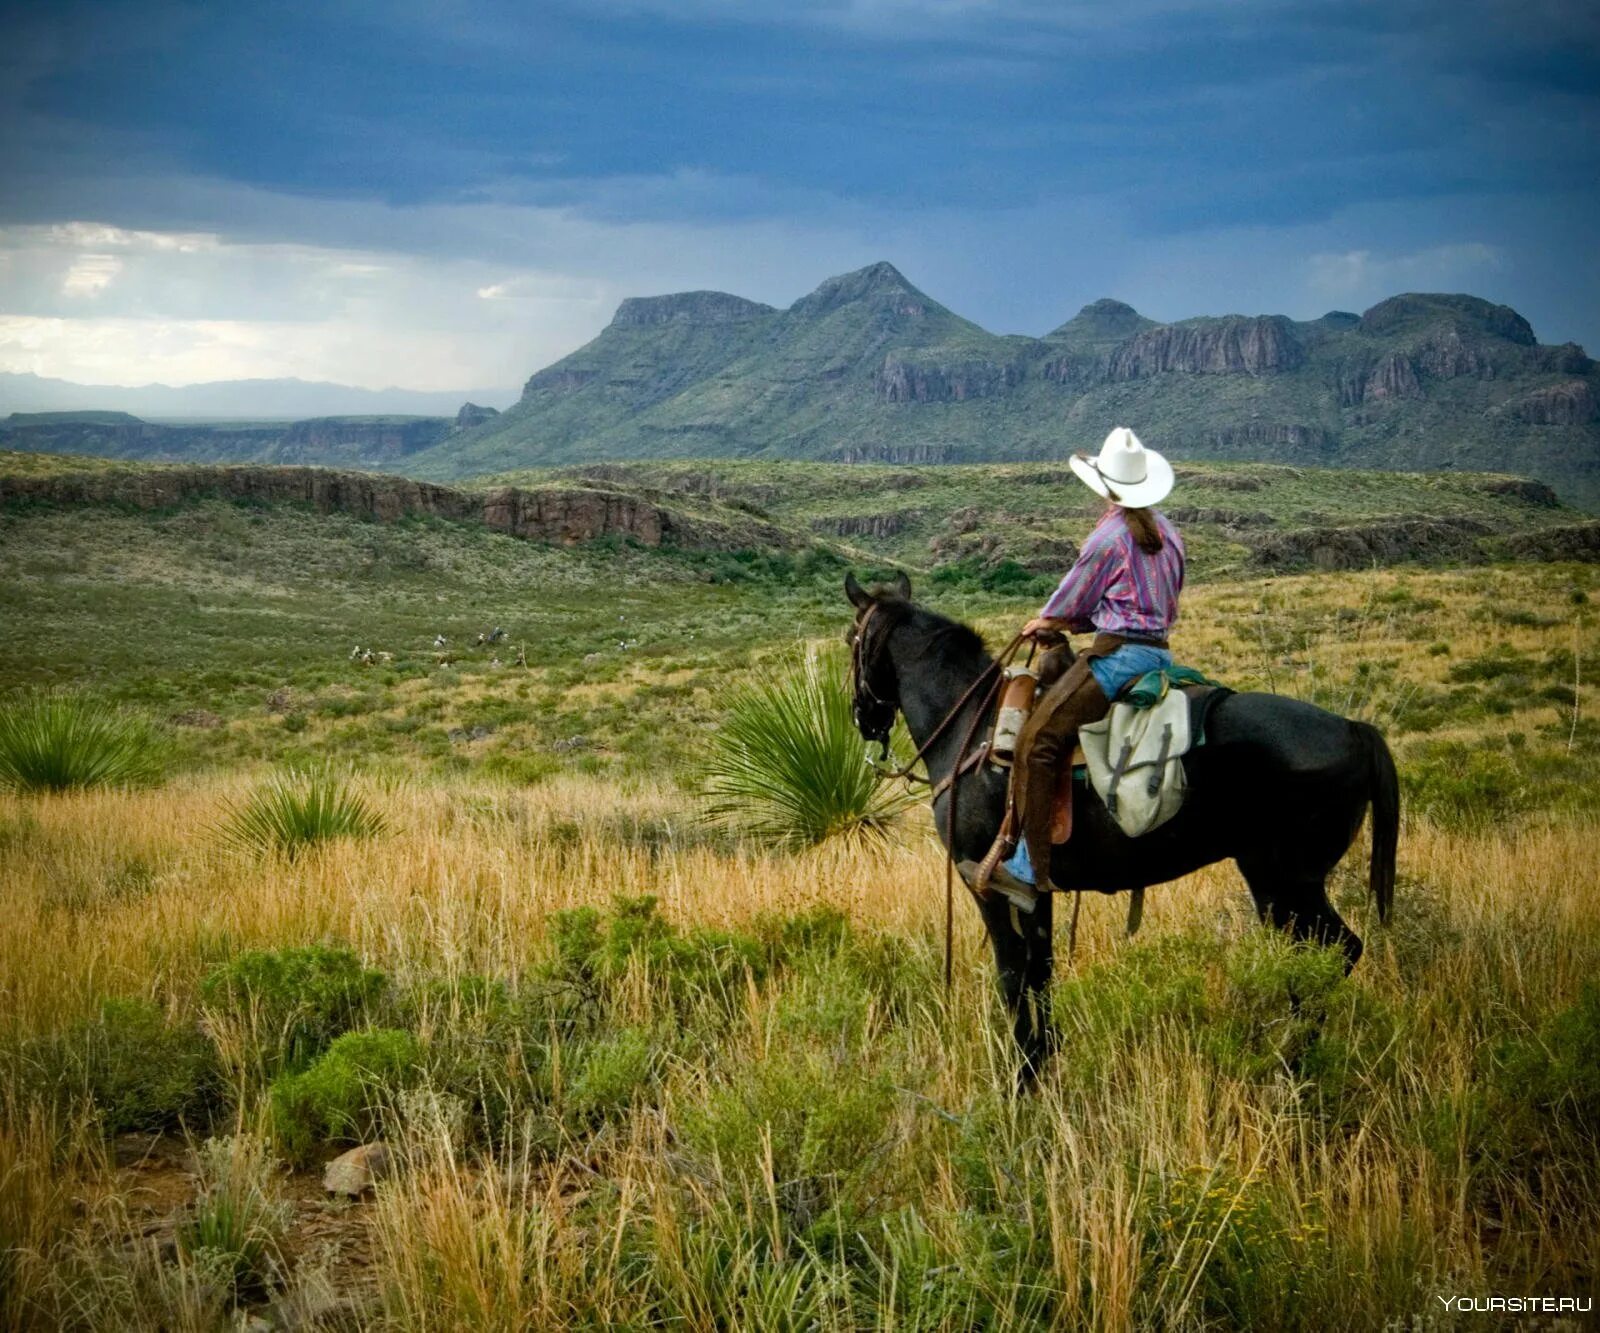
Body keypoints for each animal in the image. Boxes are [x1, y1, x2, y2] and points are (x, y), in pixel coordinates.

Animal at [844, 572, 1395, 1081]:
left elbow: (1012, 976)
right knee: (1309, 956)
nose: (863, 719)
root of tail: (1355, 729)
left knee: (1336, 950)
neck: (972, 730)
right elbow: (1040, 972)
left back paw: (1291, 1064)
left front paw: (1021, 1078)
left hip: (1289, 880)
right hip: (1274, 882)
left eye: (851, 639)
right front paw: (1044, 1061)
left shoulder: (985, 882)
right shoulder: (1035, 890)